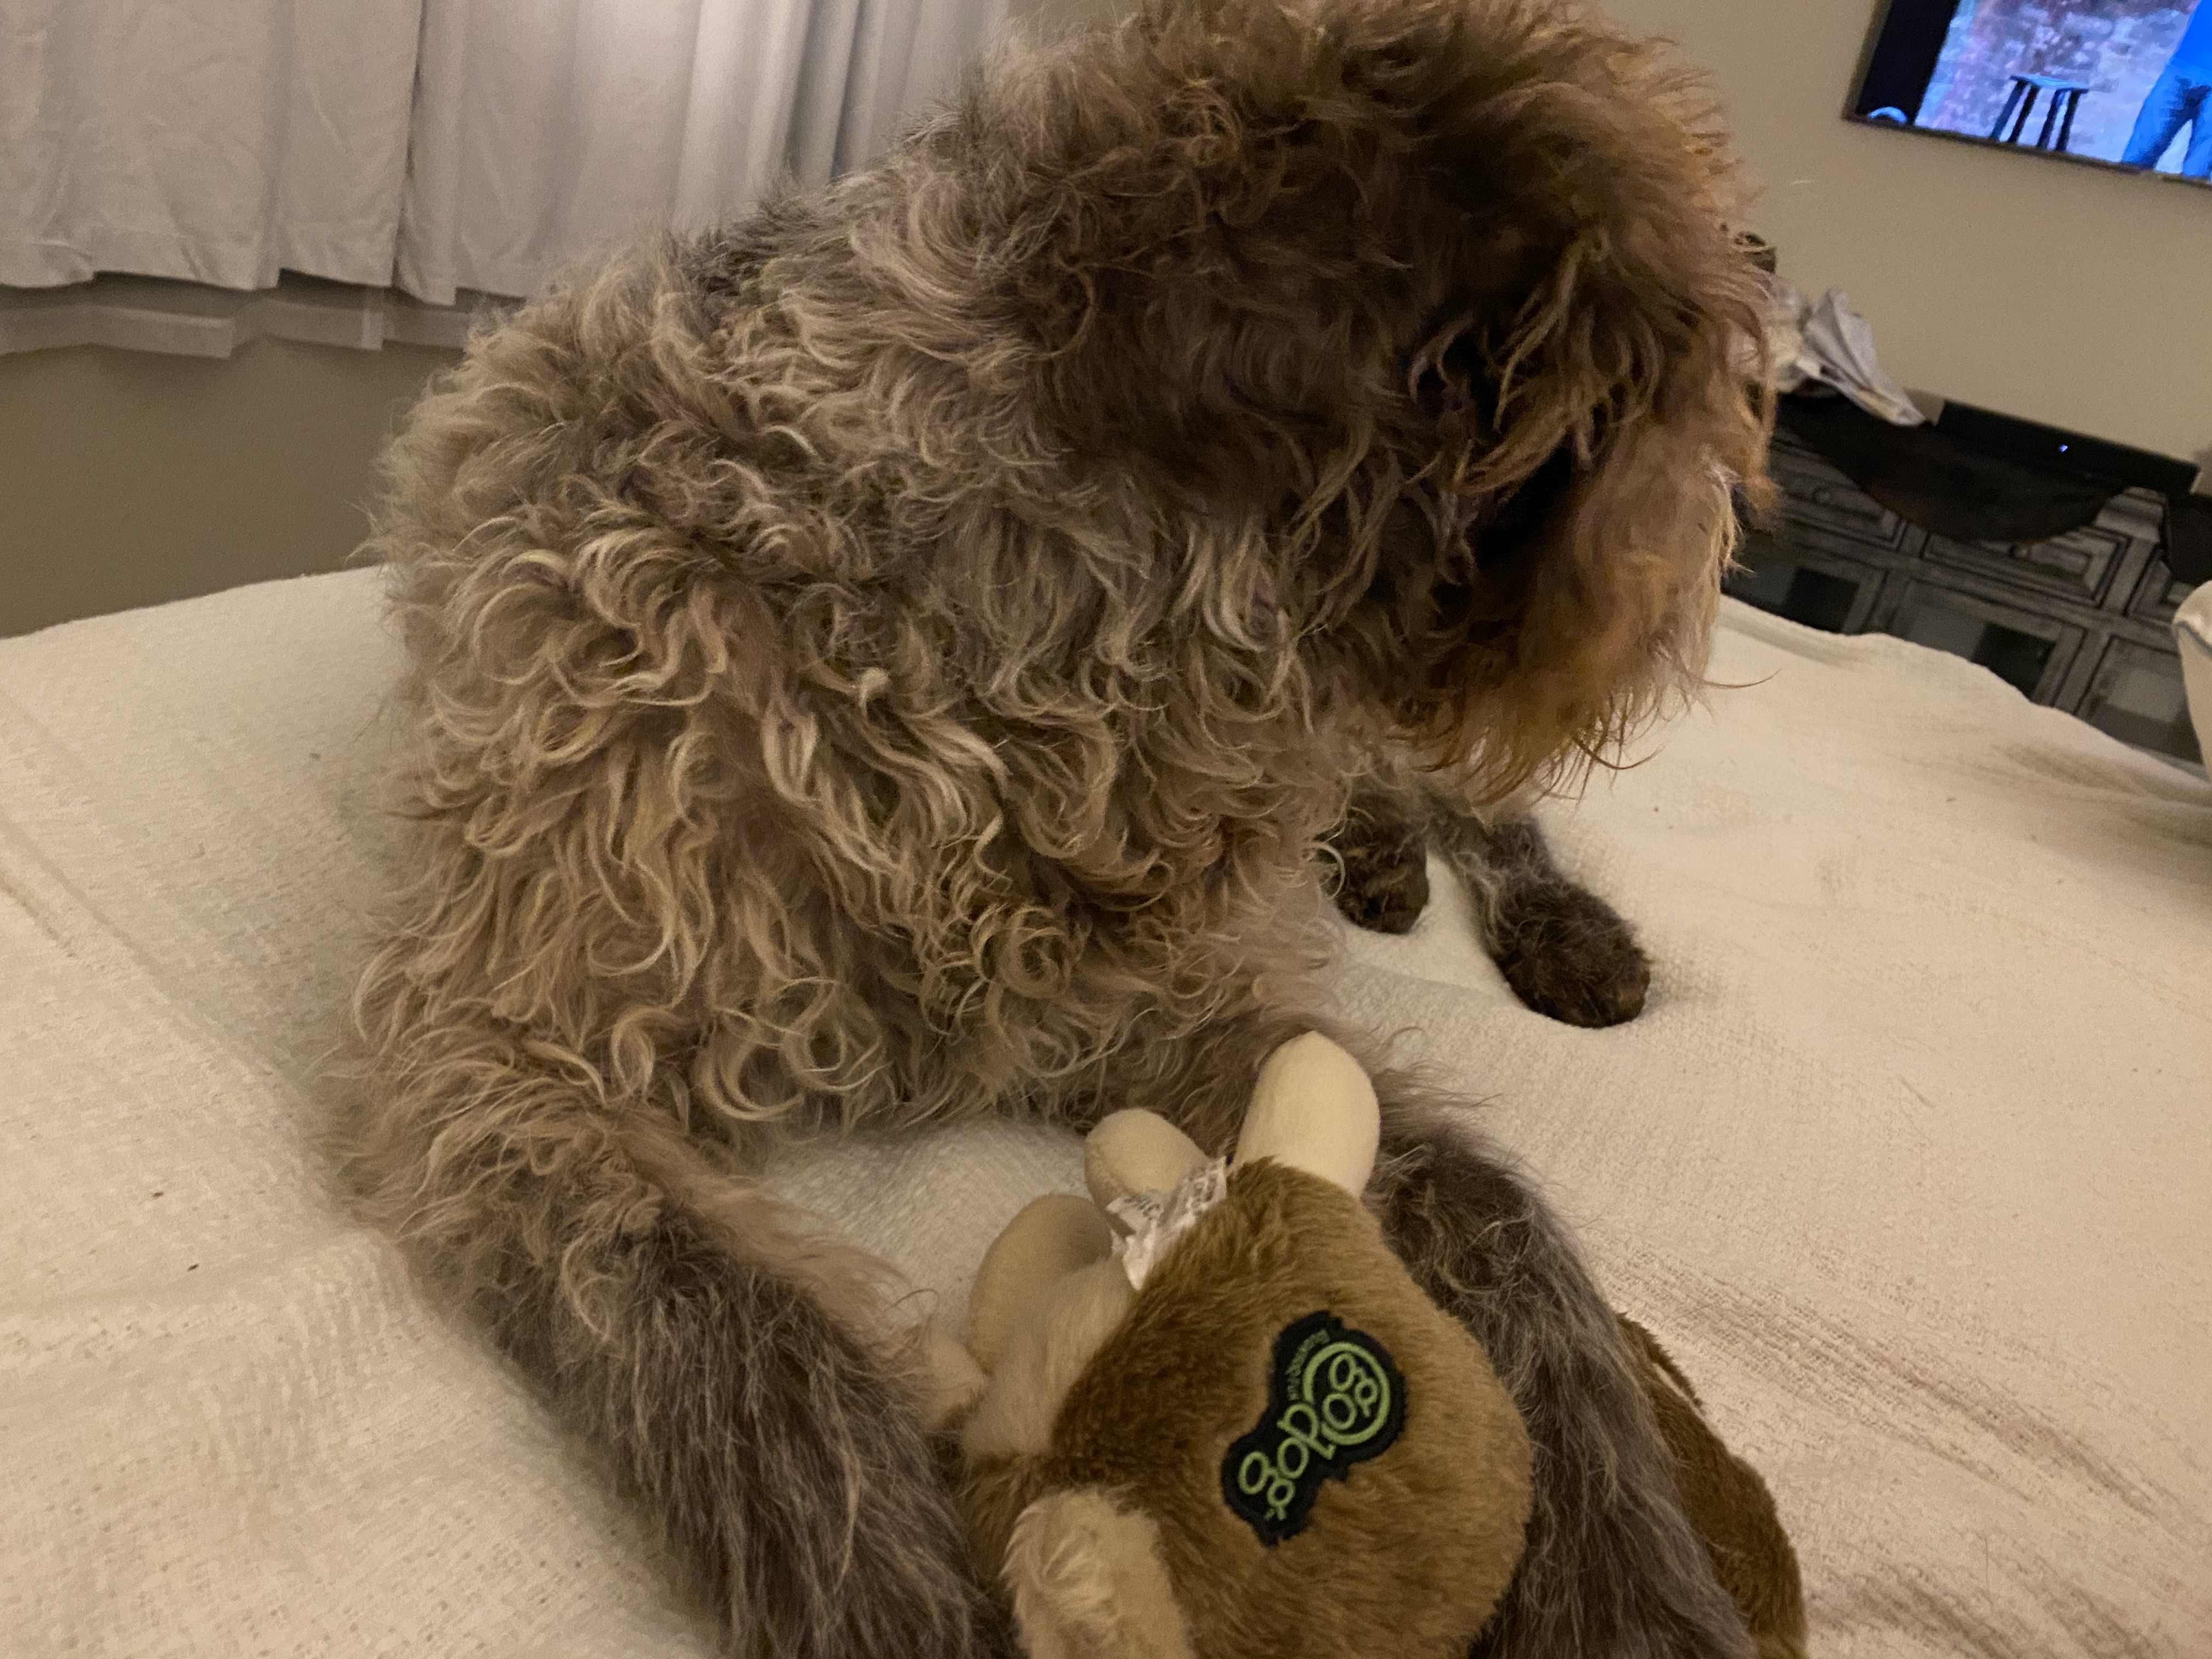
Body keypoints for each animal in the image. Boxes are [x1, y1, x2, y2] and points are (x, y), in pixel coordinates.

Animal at [345, 0, 1772, 1653]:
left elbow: (1504, 1219)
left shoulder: (1182, 1011)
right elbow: (751, 1358)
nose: (1703, 571)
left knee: (1475, 810)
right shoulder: (499, 1059)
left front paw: (1636, 1593)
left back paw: (1533, 915)